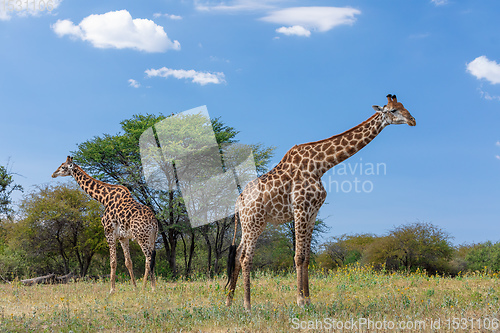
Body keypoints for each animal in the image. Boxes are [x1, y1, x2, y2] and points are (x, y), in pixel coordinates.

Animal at [51, 157, 157, 292]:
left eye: (63, 167)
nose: (53, 174)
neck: (104, 198)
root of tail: (154, 222)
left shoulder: (109, 232)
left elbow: (113, 262)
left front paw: (112, 290)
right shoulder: (123, 237)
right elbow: (128, 262)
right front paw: (134, 288)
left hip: (142, 237)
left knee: (149, 259)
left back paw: (149, 288)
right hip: (152, 238)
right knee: (150, 259)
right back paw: (147, 287)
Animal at [226, 94, 414, 312]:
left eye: (403, 106)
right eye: (393, 110)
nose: (412, 120)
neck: (320, 166)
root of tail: (238, 202)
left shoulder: (313, 212)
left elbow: (307, 257)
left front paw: (308, 300)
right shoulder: (300, 208)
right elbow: (298, 256)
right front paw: (300, 301)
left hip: (250, 224)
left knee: (237, 256)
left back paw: (229, 301)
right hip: (254, 222)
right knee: (246, 258)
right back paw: (247, 305)